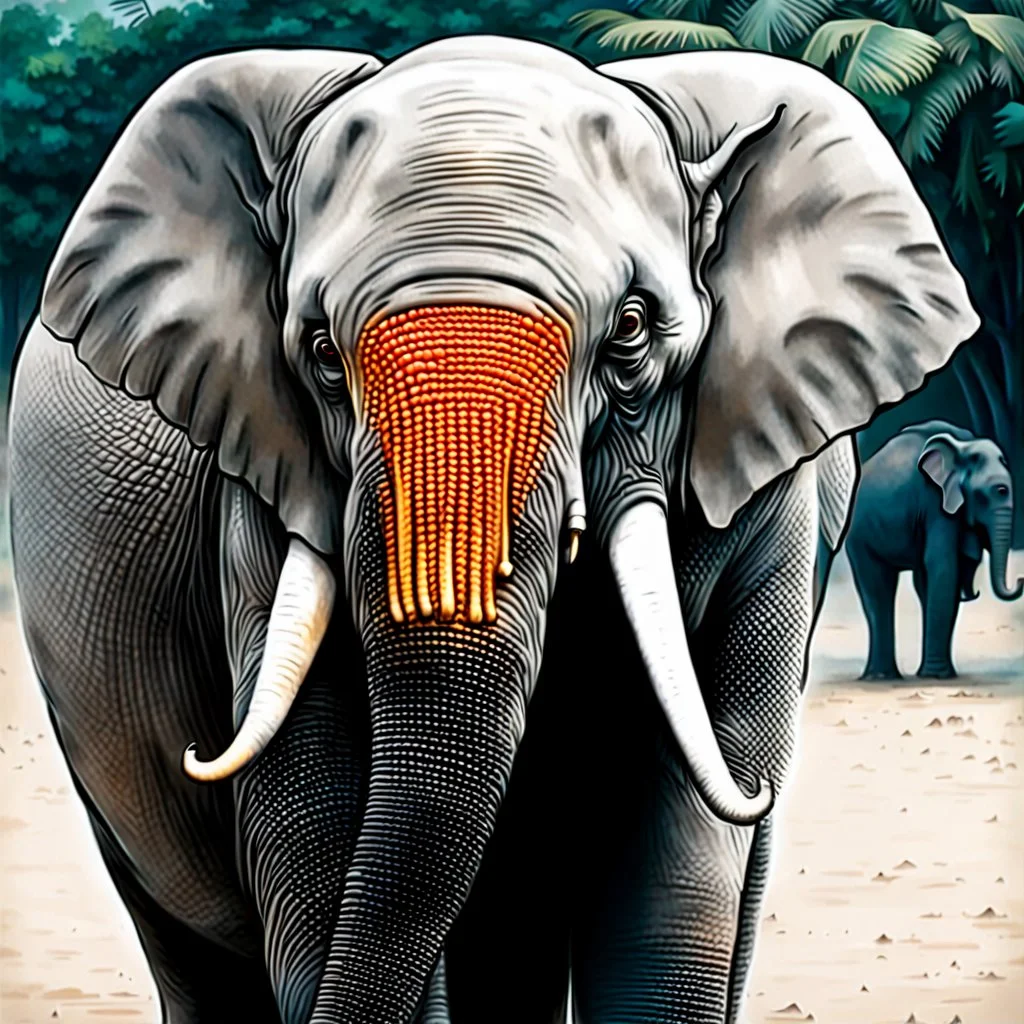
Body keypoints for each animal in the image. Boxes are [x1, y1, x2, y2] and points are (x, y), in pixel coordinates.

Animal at [7, 36, 978, 1024]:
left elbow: (679, 843)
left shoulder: (765, 488)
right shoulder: (260, 478)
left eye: (632, 332)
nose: (200, 752)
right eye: (320, 356)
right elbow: (313, 806)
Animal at [845, 420, 1021, 680]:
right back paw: (881, 677)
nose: (1020, 579)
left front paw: (936, 675)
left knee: (913, 584)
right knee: (877, 587)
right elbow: (944, 567)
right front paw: (937, 677)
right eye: (990, 494)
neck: (964, 446)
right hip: (858, 535)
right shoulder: (935, 503)